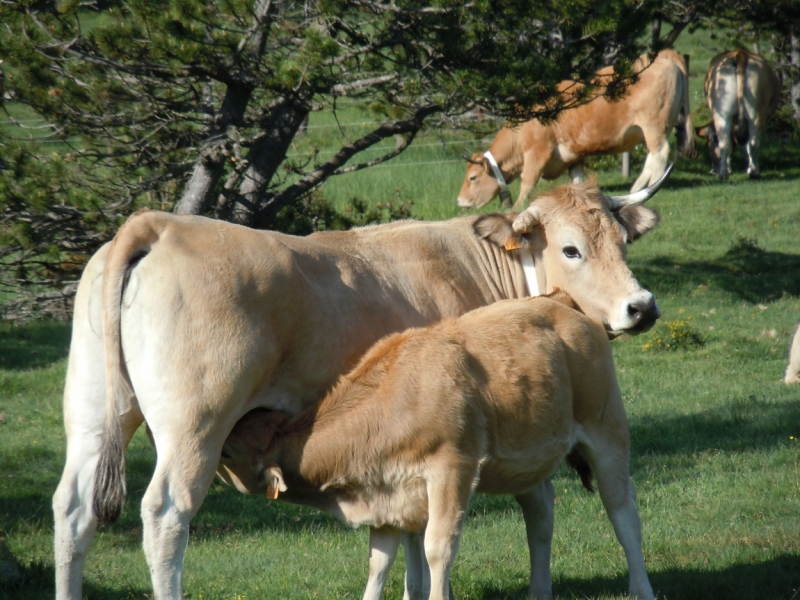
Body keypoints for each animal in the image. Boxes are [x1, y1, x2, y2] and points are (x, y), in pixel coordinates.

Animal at [219, 294, 656, 600]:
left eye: (227, 452)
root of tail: (559, 302)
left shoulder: (452, 469)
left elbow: (437, 548)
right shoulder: (388, 496)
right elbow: (379, 563)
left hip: (607, 431)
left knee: (623, 512)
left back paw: (640, 588)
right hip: (526, 460)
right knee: (540, 516)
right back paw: (539, 590)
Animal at [460, 49, 696, 210]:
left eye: (472, 177)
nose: (460, 201)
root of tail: (662, 56)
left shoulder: (537, 153)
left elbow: (527, 181)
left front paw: (518, 206)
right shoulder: (574, 157)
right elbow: (577, 180)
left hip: (654, 126)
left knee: (660, 155)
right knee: (651, 158)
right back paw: (636, 189)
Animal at [692, 48, 780, 180]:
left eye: (708, 145)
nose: (713, 169)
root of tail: (740, 53)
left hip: (725, 114)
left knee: (727, 142)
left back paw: (725, 173)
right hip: (755, 115)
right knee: (750, 143)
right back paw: (751, 172)